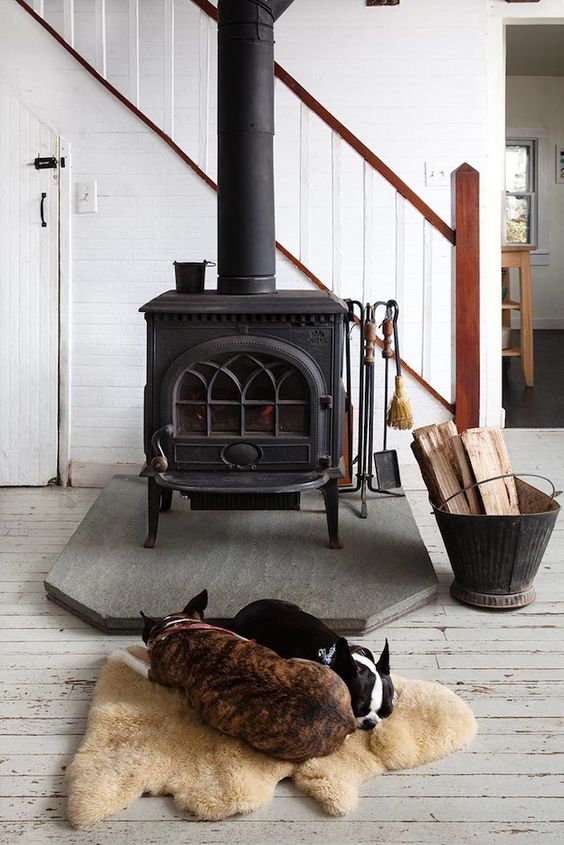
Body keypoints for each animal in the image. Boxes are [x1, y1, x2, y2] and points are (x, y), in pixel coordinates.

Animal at [110, 592, 354, 760]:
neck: (181, 628)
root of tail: (345, 721)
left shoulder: (155, 672)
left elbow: (133, 660)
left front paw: (119, 653)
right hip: (305, 664)